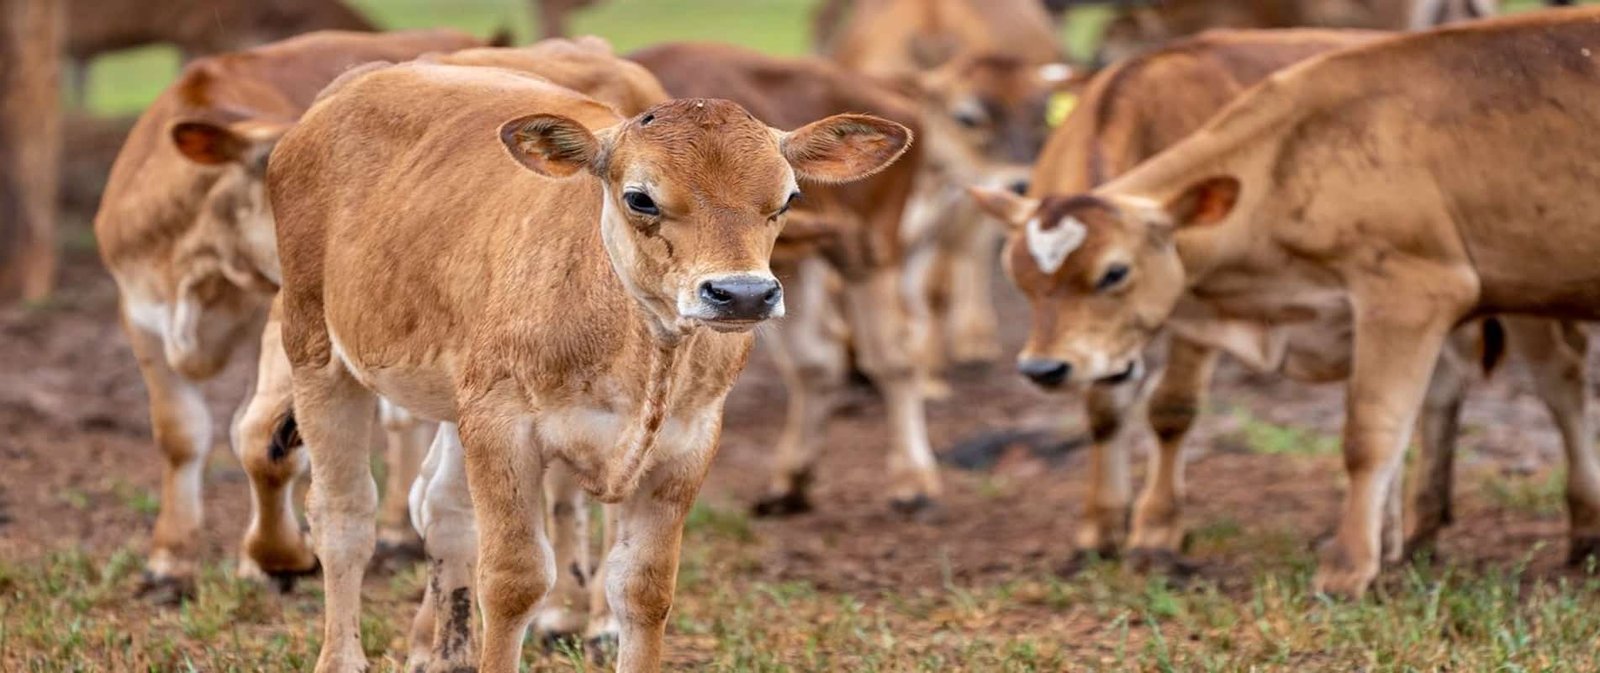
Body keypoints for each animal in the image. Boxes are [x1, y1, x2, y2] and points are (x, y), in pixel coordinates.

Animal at [92, 29, 484, 600]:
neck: (201, 264)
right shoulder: (139, 313)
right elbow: (181, 434)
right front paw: (171, 559)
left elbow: (258, 437)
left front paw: (272, 556)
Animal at [266, 59, 909, 672]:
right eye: (641, 197)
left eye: (789, 198)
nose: (743, 294)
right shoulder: (501, 429)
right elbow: (514, 581)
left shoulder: (688, 444)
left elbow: (643, 589)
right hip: (316, 351)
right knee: (344, 517)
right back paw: (342, 656)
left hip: (451, 399)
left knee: (444, 514)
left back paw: (445, 654)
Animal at [965, 9, 1600, 597]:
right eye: (1019, 278)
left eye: (1114, 271)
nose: (1041, 368)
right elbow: (1105, 407)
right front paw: (1099, 533)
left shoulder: (1412, 288)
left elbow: (1357, 430)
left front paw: (1164, 538)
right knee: (1452, 389)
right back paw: (1417, 532)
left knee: (1559, 384)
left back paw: (1580, 532)